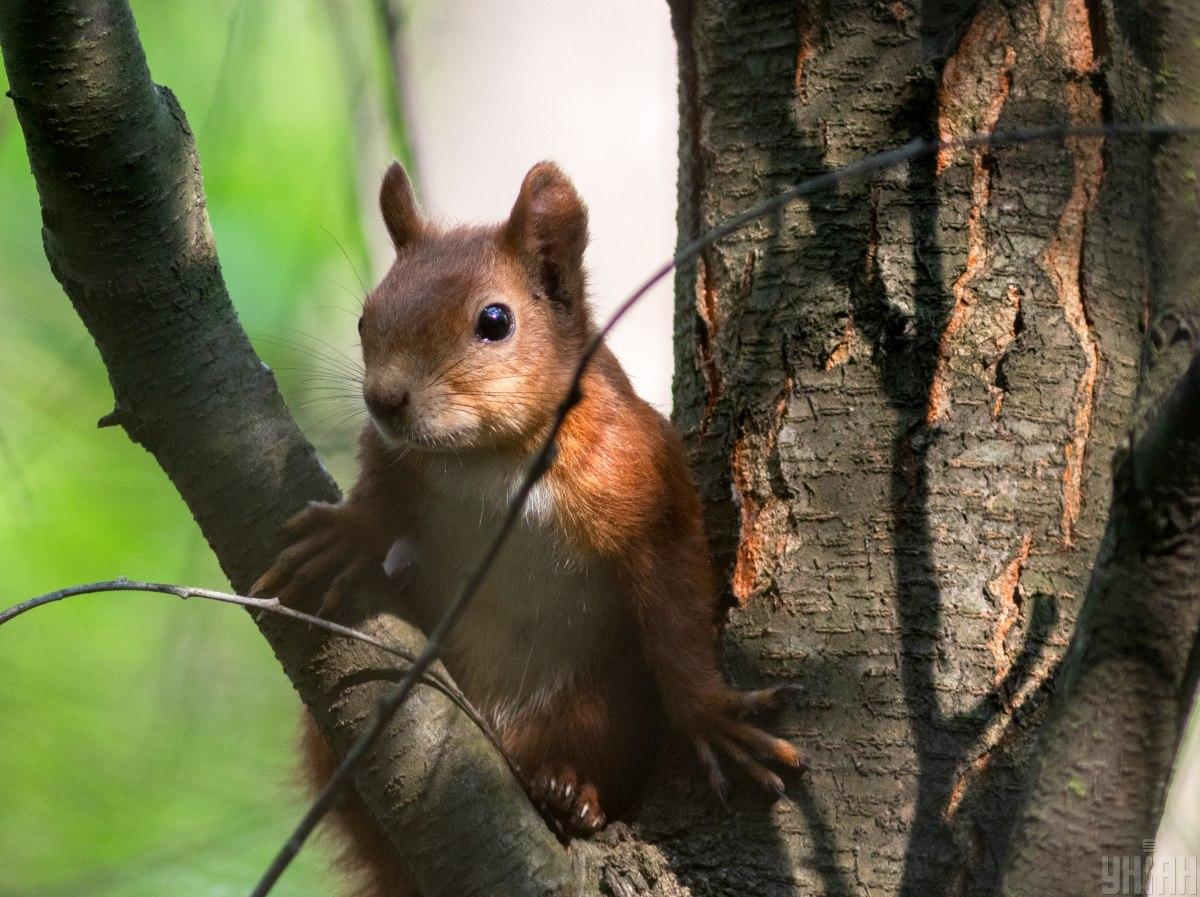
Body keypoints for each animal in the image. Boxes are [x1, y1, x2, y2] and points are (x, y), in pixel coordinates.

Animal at [255, 159, 796, 892]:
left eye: (495, 320)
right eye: (366, 319)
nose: (384, 400)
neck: (491, 458)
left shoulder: (649, 486)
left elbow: (678, 610)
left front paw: (709, 714)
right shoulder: (397, 459)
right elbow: (380, 497)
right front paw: (349, 532)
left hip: (598, 707)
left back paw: (568, 794)